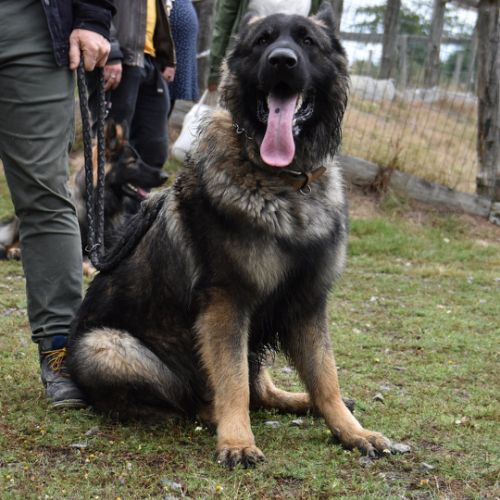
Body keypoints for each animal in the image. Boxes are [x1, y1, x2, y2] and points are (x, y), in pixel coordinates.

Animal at [68, 3, 392, 468]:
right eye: (263, 41)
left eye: (307, 41)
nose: (282, 61)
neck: (284, 184)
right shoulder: (227, 304)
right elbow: (234, 380)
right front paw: (237, 440)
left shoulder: (308, 303)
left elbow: (325, 375)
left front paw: (351, 431)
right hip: (105, 347)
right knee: (197, 395)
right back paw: (211, 413)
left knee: (265, 388)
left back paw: (301, 401)